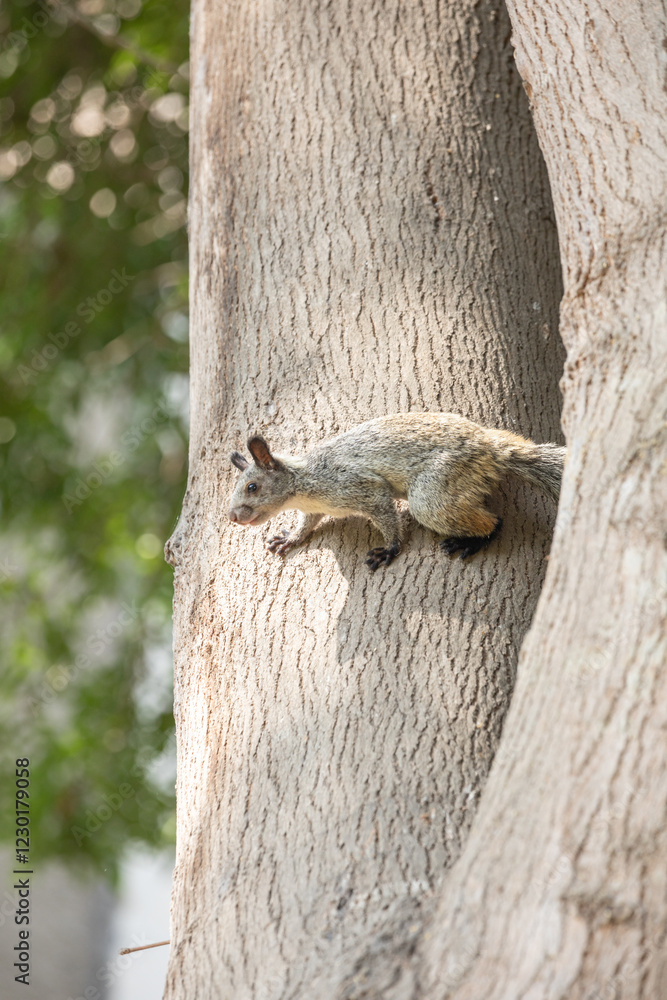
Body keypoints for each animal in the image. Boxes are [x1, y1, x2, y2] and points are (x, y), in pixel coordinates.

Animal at [227, 412, 565, 570]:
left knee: (491, 522)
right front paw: (290, 538)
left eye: (252, 487)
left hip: (435, 491)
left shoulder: (359, 487)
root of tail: (492, 449)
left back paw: (470, 541)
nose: (232, 517)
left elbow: (386, 515)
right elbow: (306, 524)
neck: (305, 484)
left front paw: (389, 548)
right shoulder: (315, 509)